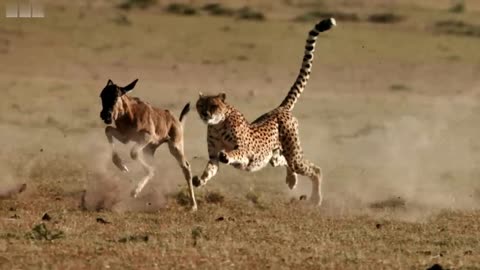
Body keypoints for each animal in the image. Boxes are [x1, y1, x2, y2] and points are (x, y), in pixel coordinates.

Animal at [99, 78, 197, 211]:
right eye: (102, 96)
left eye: (116, 96)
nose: (105, 115)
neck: (129, 114)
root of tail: (177, 120)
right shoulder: (125, 138)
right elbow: (107, 130)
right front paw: (121, 165)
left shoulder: (147, 137)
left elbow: (134, 153)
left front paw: (135, 191)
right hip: (149, 149)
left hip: (175, 146)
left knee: (186, 167)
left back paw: (193, 206)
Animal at [193, 17, 336, 206]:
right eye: (200, 106)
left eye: (213, 106)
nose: (205, 115)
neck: (218, 125)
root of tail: (280, 108)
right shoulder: (213, 157)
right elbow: (210, 169)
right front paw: (199, 180)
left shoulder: (246, 152)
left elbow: (235, 152)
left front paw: (227, 156)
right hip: (274, 156)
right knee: (283, 161)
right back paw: (292, 180)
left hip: (293, 154)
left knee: (314, 169)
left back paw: (315, 199)